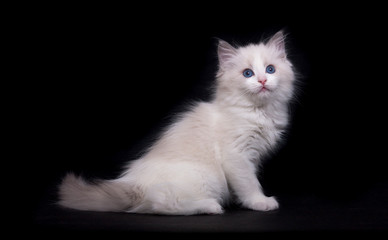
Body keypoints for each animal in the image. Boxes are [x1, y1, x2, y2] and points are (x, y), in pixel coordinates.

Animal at [59, 30, 298, 216]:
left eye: (270, 69)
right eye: (247, 73)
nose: (263, 81)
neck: (257, 112)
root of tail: (133, 184)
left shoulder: (253, 157)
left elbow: (244, 184)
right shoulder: (237, 157)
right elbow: (249, 184)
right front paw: (260, 202)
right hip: (205, 177)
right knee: (161, 204)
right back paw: (210, 206)